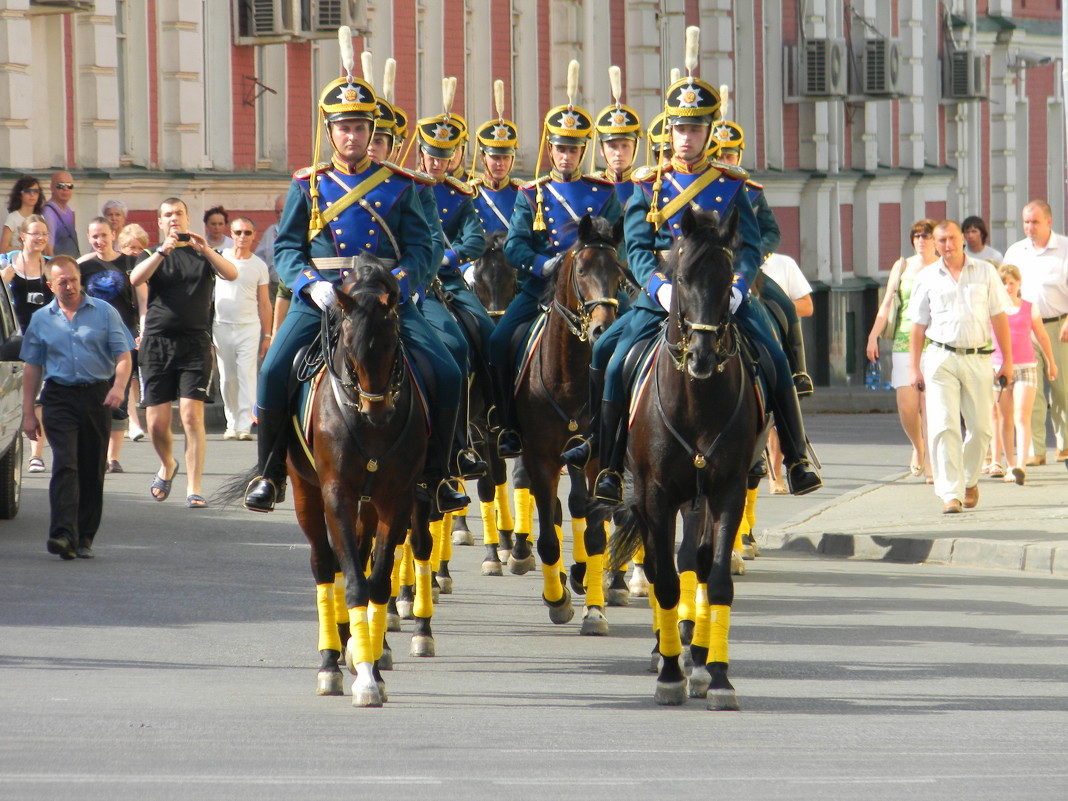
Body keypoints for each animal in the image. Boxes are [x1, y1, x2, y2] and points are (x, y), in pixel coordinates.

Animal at [510, 213, 623, 632]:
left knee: (577, 506)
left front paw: (594, 607)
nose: (602, 328)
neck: (569, 377)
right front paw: (557, 599)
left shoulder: (594, 459)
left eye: (619, 272)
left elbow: (593, 532)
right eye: (582, 269)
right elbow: (548, 535)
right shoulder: (540, 456)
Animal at [610, 207, 768, 709]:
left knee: (692, 560)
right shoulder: (656, 497)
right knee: (663, 567)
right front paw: (670, 674)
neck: (698, 398)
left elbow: (713, 578)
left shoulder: (726, 491)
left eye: (727, 279)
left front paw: (716, 675)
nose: (700, 356)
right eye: (680, 277)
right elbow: (663, 580)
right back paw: (666, 651)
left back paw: (695, 654)